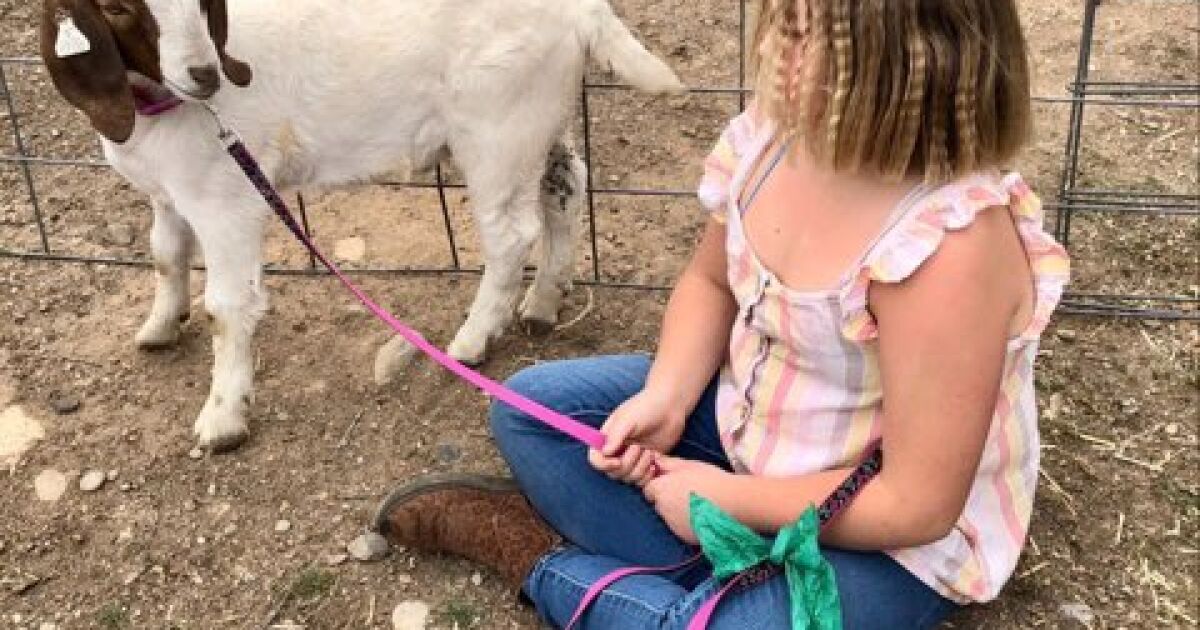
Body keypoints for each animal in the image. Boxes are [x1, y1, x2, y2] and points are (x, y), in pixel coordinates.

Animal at [39, 1, 686, 451]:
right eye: (117, 7)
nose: (204, 75)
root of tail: (582, 11)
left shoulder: (227, 201)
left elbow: (226, 308)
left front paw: (223, 417)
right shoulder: (171, 194)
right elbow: (164, 254)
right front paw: (158, 326)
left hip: (498, 128)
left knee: (509, 235)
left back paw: (472, 341)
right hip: (538, 122)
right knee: (565, 187)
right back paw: (544, 303)